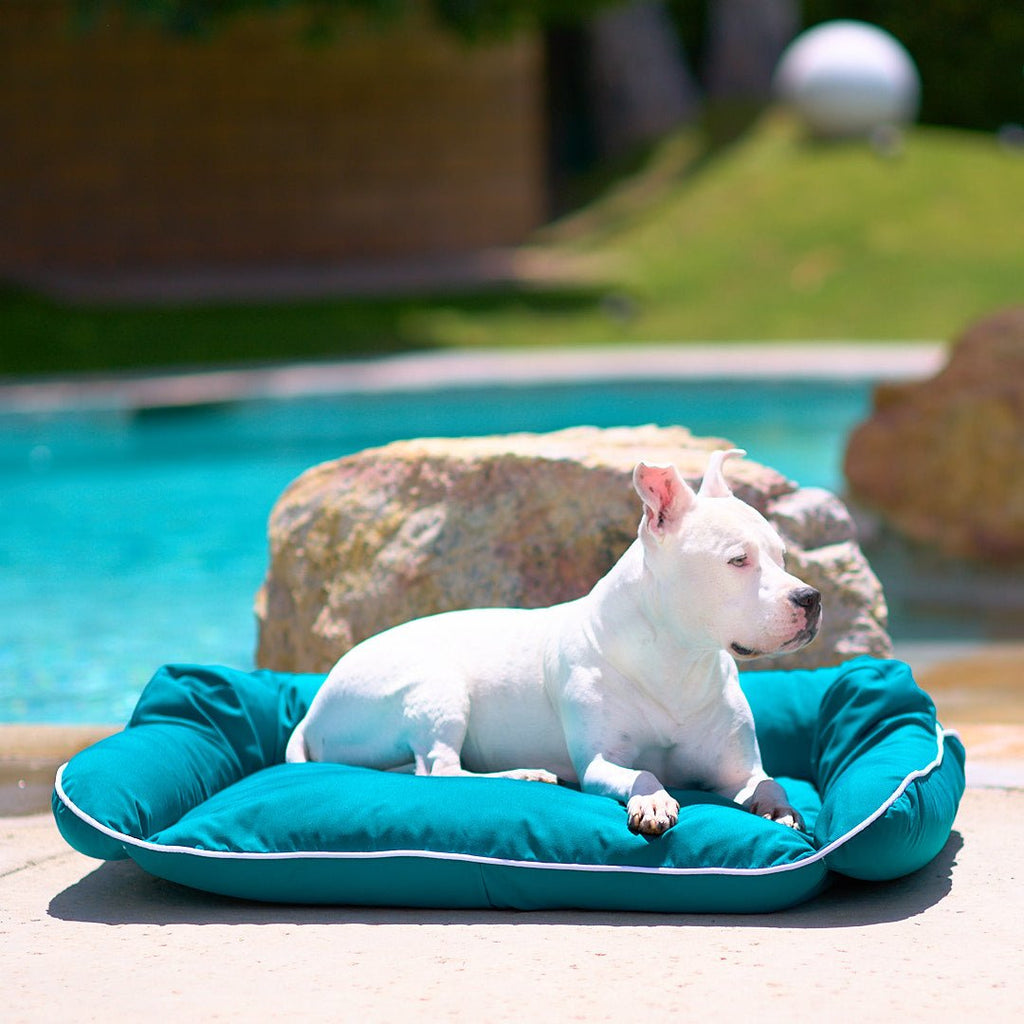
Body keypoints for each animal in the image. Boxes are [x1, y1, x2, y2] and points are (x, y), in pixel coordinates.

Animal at [284, 452, 819, 835]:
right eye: (737, 561)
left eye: (782, 556)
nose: (811, 598)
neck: (677, 660)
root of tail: (312, 710)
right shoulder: (601, 762)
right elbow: (644, 773)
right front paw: (651, 799)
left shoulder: (738, 770)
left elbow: (771, 784)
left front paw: (782, 812)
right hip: (435, 688)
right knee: (440, 769)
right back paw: (524, 775)